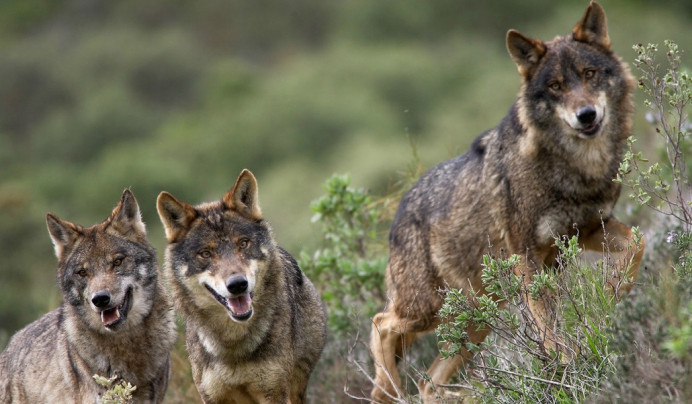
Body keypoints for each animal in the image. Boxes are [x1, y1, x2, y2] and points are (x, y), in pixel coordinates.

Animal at [156, 169, 327, 404]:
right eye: (206, 254)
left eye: (243, 243)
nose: (237, 285)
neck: (232, 345)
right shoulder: (212, 397)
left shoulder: (274, 393)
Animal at [370, 2, 645, 402]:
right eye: (556, 87)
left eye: (589, 74)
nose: (586, 115)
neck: (575, 169)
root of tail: (397, 211)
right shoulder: (526, 255)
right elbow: (547, 330)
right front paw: (567, 364)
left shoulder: (589, 229)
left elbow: (637, 244)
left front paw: (612, 295)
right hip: (429, 309)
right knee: (382, 325)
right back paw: (387, 389)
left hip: (477, 319)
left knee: (428, 382)